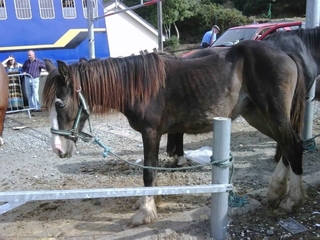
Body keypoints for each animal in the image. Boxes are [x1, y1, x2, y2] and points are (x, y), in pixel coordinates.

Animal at [42, 40, 304, 230]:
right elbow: (154, 169)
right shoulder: (155, 135)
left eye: (60, 103)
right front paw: (150, 202)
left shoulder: (150, 133)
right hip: (257, 116)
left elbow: (148, 171)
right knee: (285, 145)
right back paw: (275, 191)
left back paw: (291, 200)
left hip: (272, 114)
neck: (139, 86)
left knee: (293, 145)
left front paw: (144, 213)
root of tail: (285, 55)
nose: (58, 148)